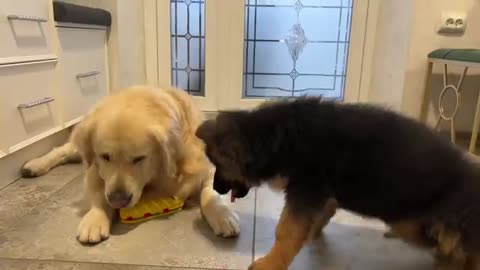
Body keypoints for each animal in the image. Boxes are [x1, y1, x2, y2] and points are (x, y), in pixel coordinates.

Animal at [195, 97, 480, 270]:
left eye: (219, 165)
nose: (216, 188)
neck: (276, 137)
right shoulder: (321, 195)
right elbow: (319, 216)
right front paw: (311, 234)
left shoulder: (306, 191)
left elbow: (286, 231)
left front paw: (270, 262)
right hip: (411, 223)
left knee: (461, 249)